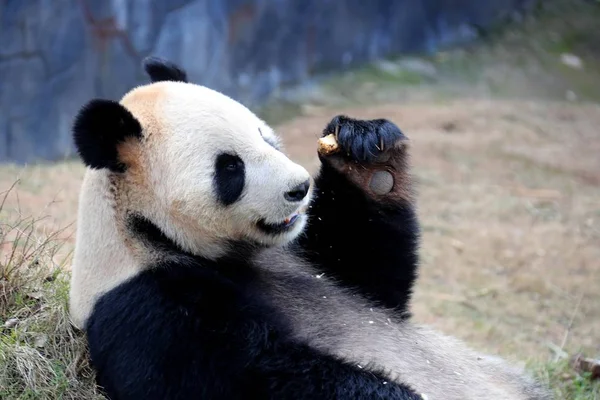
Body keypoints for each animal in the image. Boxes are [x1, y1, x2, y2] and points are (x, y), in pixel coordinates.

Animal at [68, 57, 552, 400]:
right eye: (230, 168)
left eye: (264, 136)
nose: (300, 188)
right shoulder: (151, 305)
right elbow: (252, 378)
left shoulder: (309, 257)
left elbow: (374, 275)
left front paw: (365, 156)